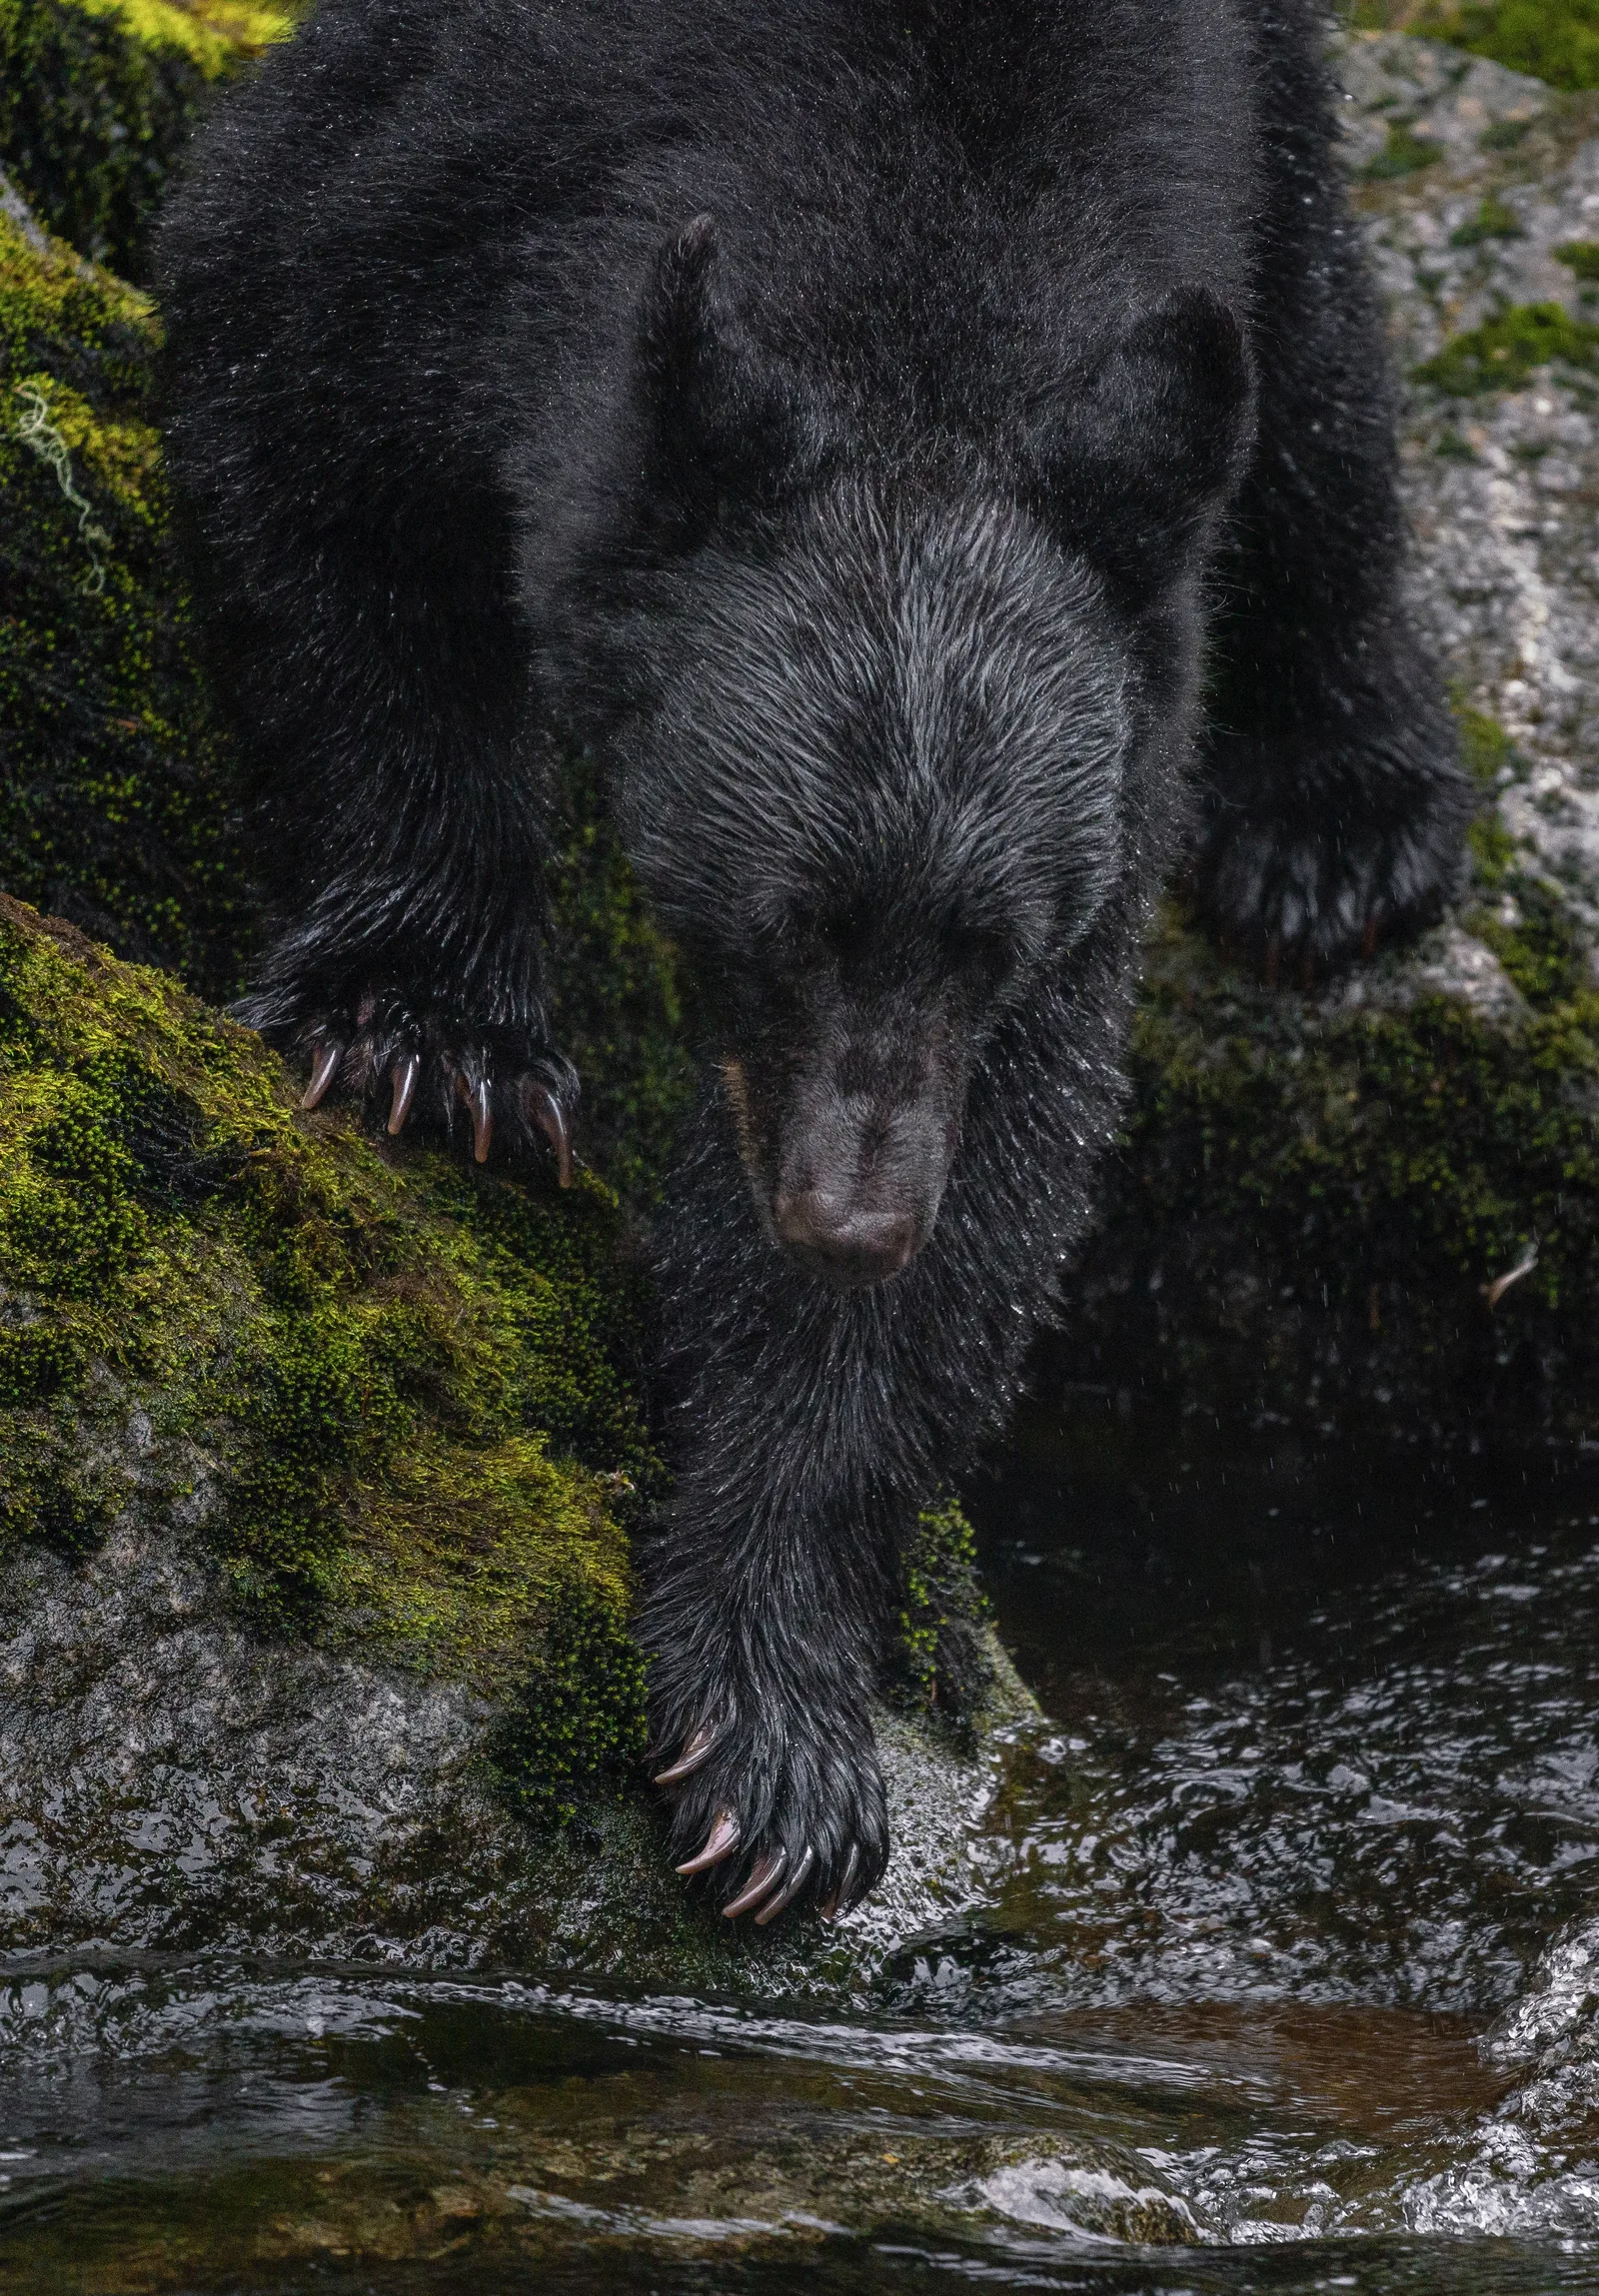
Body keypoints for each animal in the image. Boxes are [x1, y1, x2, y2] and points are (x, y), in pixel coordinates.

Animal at [158, 0, 1470, 1923]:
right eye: (790, 916)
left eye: (994, 940)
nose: (850, 1217)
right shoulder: (442, 167)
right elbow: (302, 426)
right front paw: (427, 1030)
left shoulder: (1098, 798)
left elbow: (1007, 1176)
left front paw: (773, 1731)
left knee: (1306, 338)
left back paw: (1344, 806)